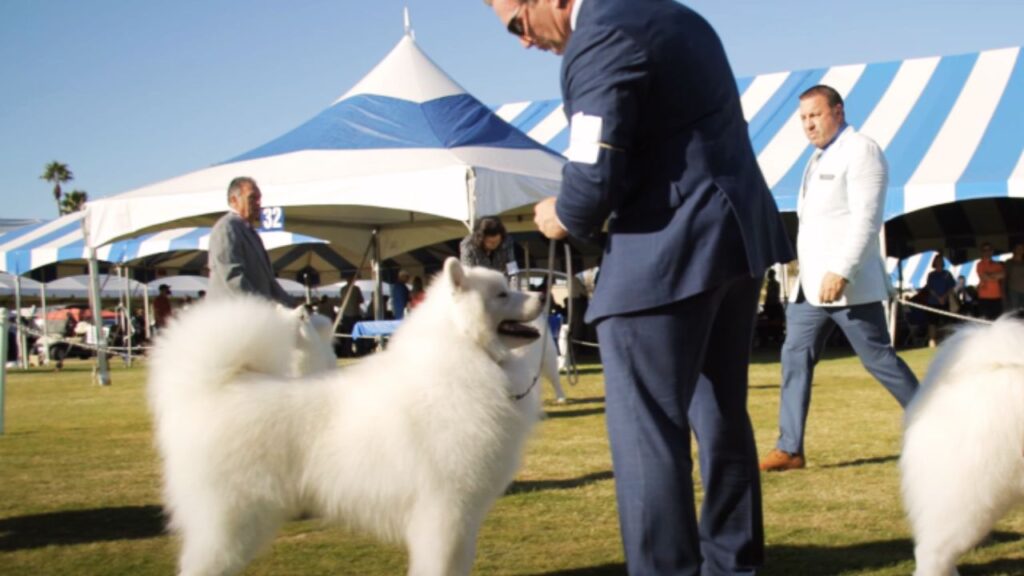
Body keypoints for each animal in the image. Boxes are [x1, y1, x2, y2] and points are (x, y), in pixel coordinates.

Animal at [149, 259, 544, 573]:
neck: (467, 355)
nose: (543, 296)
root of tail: (213, 387)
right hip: (231, 522)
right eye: (502, 294)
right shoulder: (445, 510)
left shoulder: (462, 517)